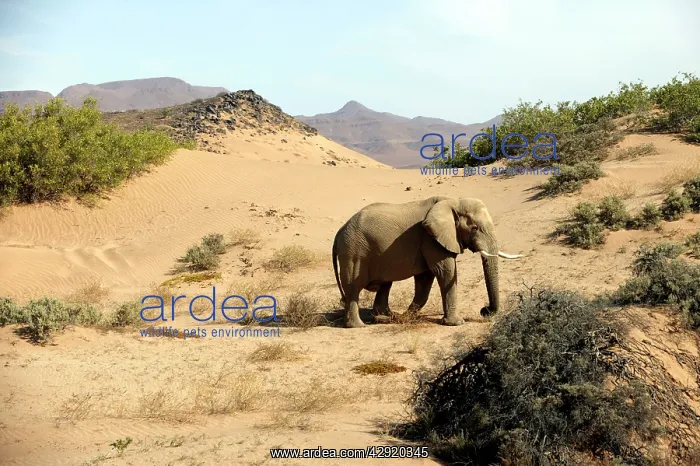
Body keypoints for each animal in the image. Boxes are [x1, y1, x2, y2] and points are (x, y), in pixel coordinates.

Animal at [332, 196, 523, 328]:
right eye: (475, 228)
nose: (485, 310)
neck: (453, 201)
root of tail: (339, 231)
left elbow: (425, 279)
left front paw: (407, 316)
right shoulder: (431, 239)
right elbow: (446, 272)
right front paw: (456, 323)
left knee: (385, 285)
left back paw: (386, 317)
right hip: (353, 251)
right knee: (354, 287)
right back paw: (358, 326)